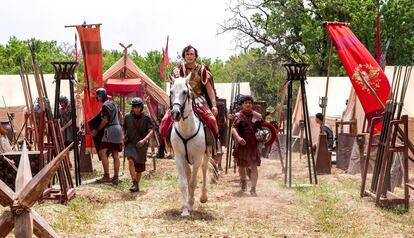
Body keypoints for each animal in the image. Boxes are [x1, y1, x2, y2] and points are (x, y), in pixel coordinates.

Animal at [169, 73, 209, 217]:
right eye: (171, 91)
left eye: (185, 92)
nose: (175, 113)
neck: (187, 130)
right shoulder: (179, 158)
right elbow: (183, 183)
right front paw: (185, 208)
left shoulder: (197, 159)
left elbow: (192, 182)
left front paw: (191, 203)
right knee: (188, 174)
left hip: (206, 156)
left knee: (204, 170)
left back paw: (203, 197)